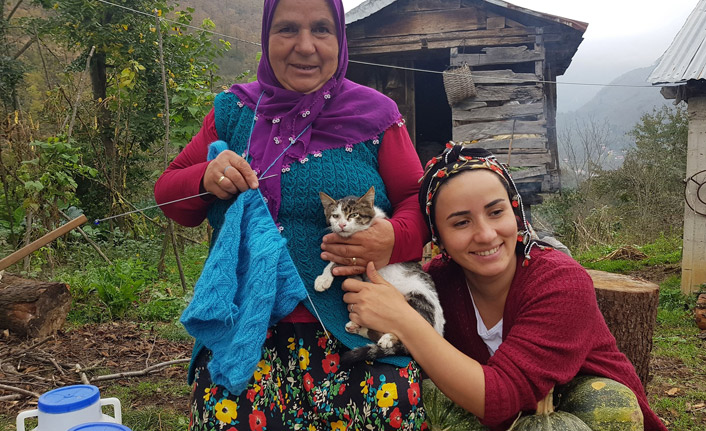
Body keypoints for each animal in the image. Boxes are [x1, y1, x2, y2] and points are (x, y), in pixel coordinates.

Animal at [314, 186, 442, 364]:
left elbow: (336, 261)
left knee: (411, 330)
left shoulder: (366, 254)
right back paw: (358, 327)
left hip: (419, 300)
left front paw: (323, 279)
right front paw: (325, 276)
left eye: (354, 215)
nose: (342, 225)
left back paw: (389, 338)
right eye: (335, 215)